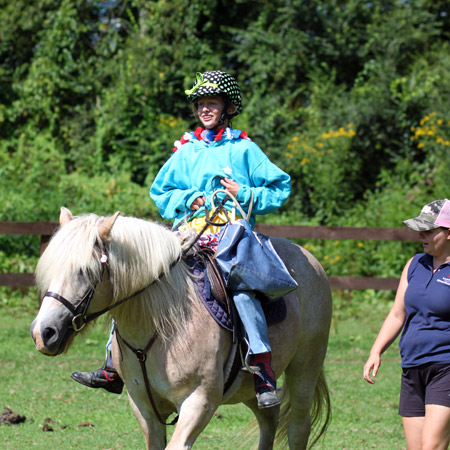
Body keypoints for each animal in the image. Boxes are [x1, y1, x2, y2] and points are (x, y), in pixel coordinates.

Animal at [30, 209, 330, 448]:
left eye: (85, 271)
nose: (43, 333)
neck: (161, 327)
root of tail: (310, 261)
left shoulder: (199, 402)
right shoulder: (144, 407)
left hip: (305, 369)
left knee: (298, 428)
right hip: (248, 388)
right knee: (269, 417)